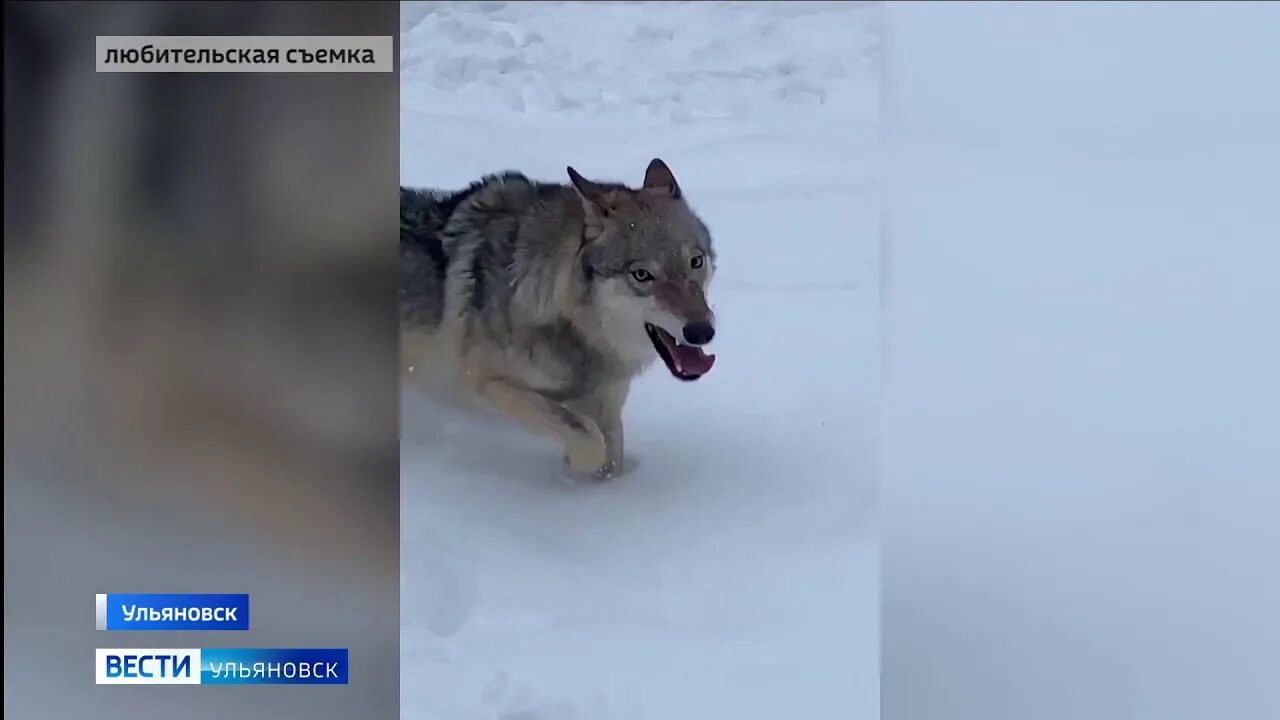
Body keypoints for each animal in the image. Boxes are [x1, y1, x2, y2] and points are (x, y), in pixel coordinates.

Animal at [401, 159, 716, 479]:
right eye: (642, 275)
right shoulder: (486, 383)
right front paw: (572, 474)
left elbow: (613, 456)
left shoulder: (607, 405)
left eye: (696, 261)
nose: (702, 332)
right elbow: (588, 439)